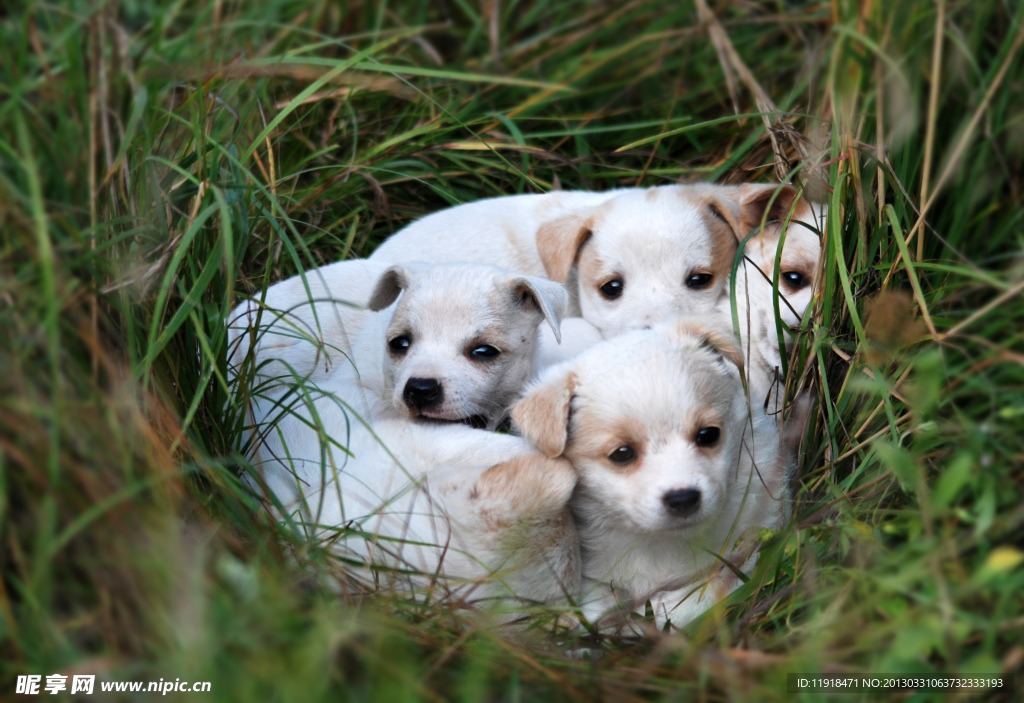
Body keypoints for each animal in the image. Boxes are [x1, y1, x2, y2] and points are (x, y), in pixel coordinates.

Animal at [509, 319, 790, 634]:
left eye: (708, 435)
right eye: (622, 454)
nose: (683, 498)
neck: (661, 542)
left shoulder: (752, 543)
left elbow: (698, 599)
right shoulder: (592, 580)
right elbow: (599, 610)